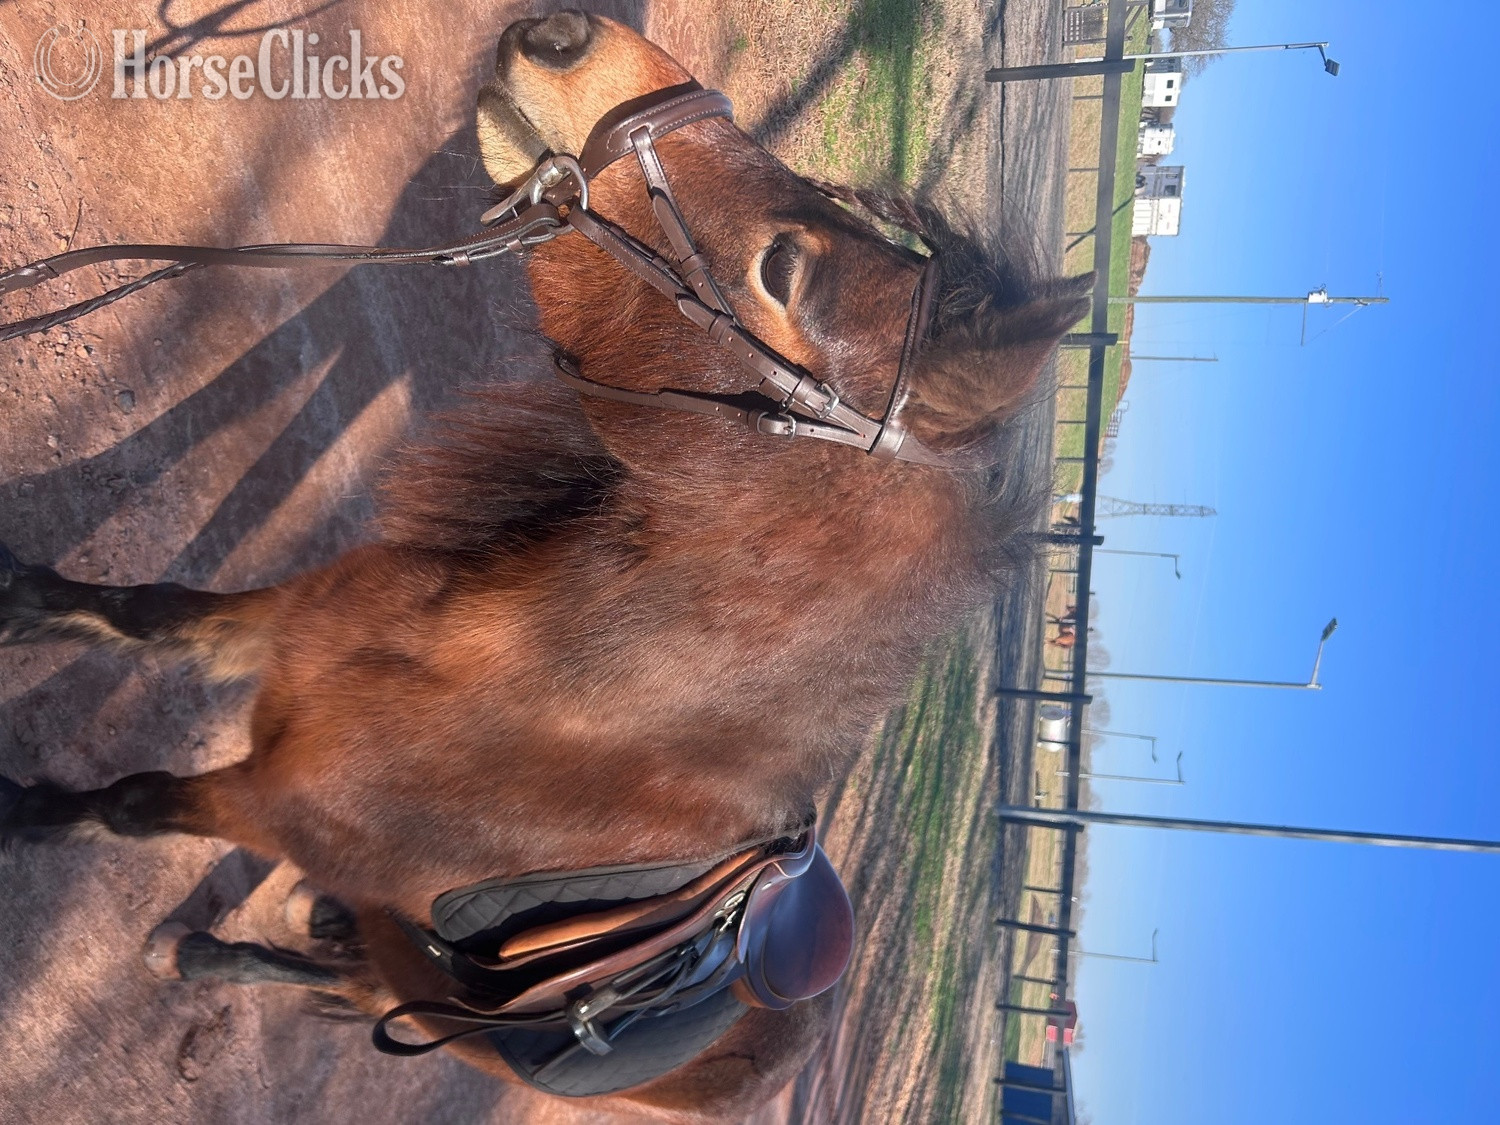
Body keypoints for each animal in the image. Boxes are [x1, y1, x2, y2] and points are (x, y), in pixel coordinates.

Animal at [0, 11, 1088, 1120]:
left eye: (784, 269)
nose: (565, 33)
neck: (539, 705)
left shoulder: (272, 806)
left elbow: (134, 803)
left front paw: (27, 812)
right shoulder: (292, 621)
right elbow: (152, 609)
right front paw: (24, 604)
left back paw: (204, 956)